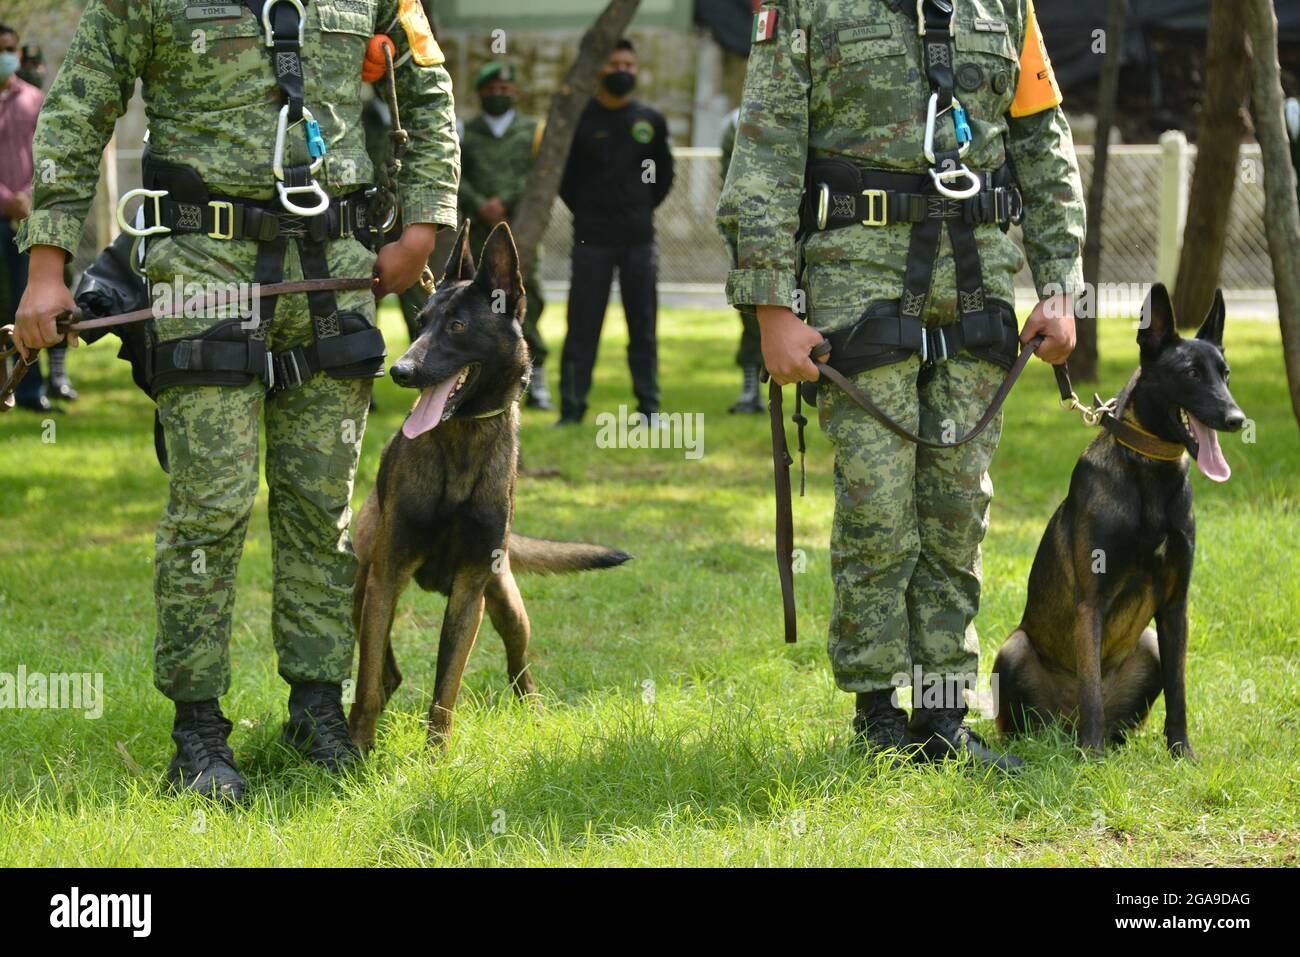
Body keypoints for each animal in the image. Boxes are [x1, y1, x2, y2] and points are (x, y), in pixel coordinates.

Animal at [345, 221, 629, 748]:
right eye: (421, 321)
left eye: (457, 326)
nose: (399, 371)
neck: (463, 439)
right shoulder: (387, 575)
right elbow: (367, 683)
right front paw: (355, 752)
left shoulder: (470, 592)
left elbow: (445, 692)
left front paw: (436, 759)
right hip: (361, 584)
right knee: (385, 670)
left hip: (507, 602)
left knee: (520, 667)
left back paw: (534, 713)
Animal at [993, 283, 1248, 754]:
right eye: (1190, 373)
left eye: (1226, 374)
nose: (1237, 420)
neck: (1149, 473)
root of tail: (1063, 726)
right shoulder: (1091, 602)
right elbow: (1092, 688)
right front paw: (1091, 759)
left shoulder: (1175, 605)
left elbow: (1179, 689)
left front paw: (1181, 752)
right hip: (1014, 648)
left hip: (1148, 645)